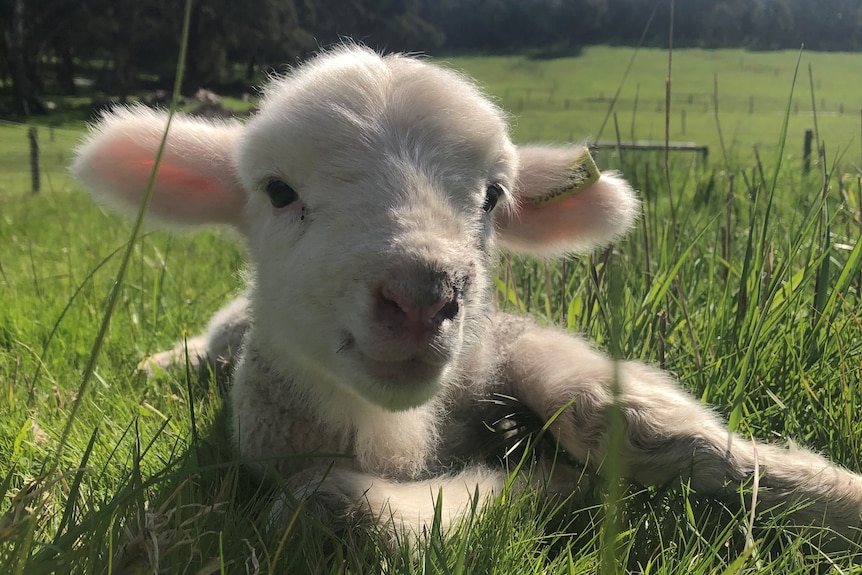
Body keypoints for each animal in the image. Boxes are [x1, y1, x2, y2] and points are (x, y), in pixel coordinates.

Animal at [74, 45, 862, 548]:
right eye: (277, 191)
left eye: (492, 196)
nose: (421, 295)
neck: (401, 429)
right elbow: (342, 509)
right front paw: (545, 486)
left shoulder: (516, 340)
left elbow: (629, 421)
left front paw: (837, 502)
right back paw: (161, 363)